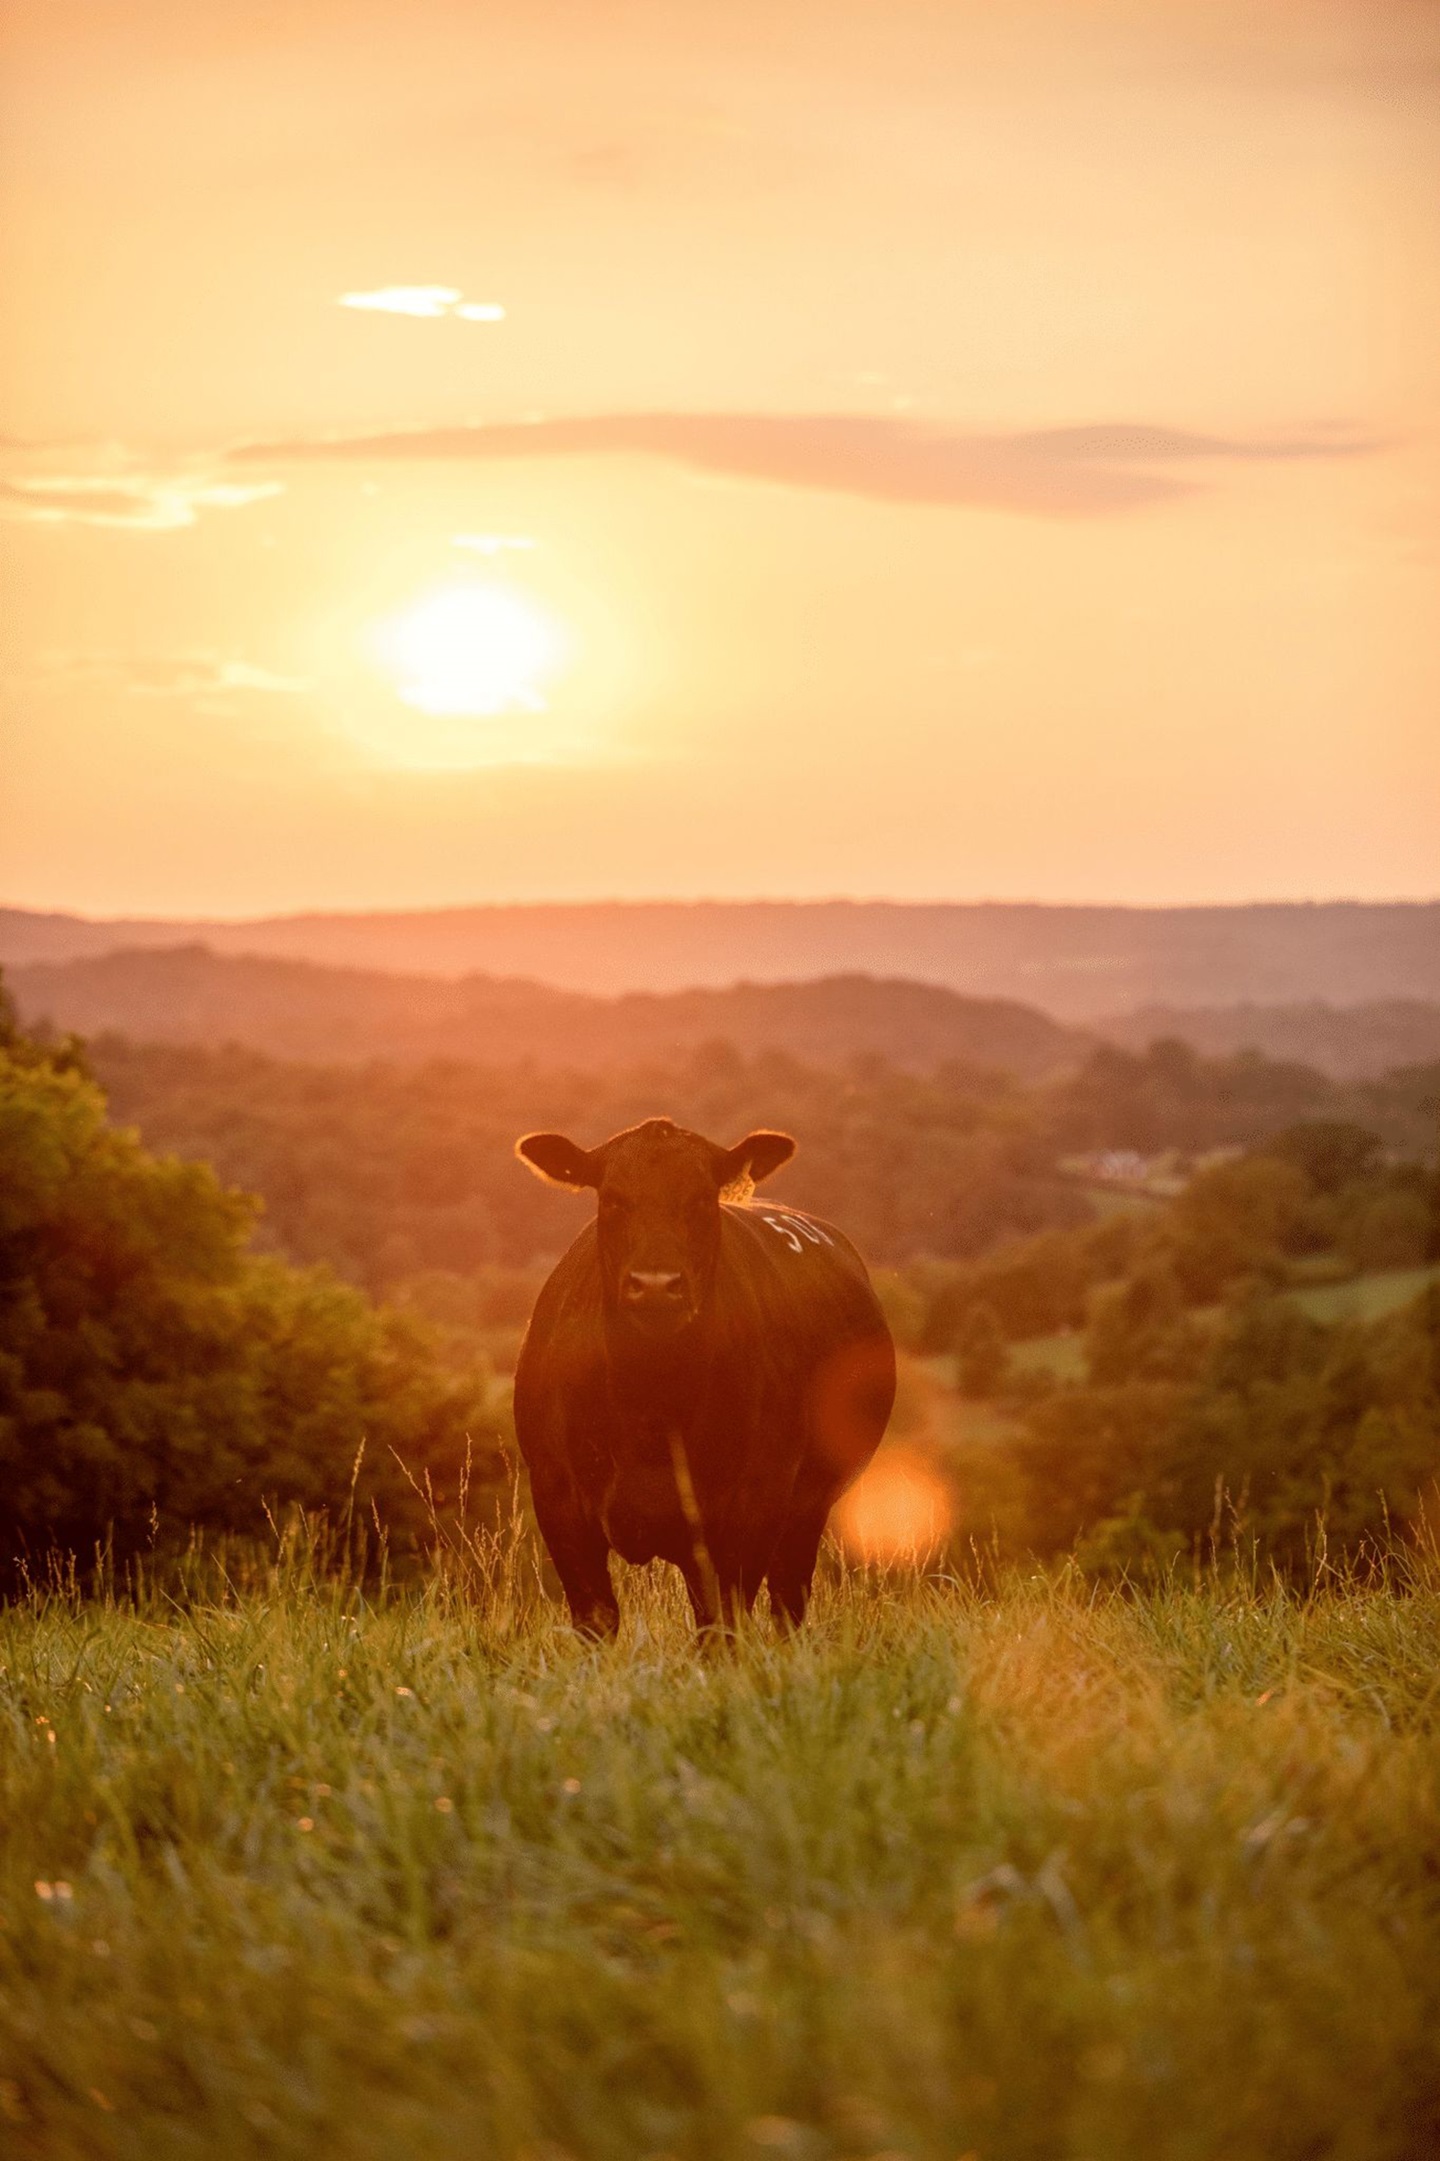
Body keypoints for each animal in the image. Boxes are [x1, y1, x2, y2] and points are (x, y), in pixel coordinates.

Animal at [512, 1117, 896, 1637]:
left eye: (699, 1198)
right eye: (612, 1198)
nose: (656, 1284)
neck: (651, 1409)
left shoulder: (750, 1507)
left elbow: (721, 1624)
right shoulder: (558, 1500)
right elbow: (597, 1618)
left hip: (807, 1507)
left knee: (788, 1601)